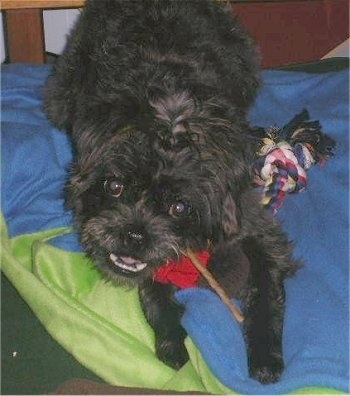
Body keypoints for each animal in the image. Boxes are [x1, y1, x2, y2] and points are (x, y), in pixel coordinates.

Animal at [44, 0, 298, 384]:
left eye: (179, 207)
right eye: (115, 186)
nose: (134, 235)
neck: (169, 122)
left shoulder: (255, 225)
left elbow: (268, 290)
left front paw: (266, 355)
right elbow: (154, 293)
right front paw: (172, 344)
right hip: (64, 88)